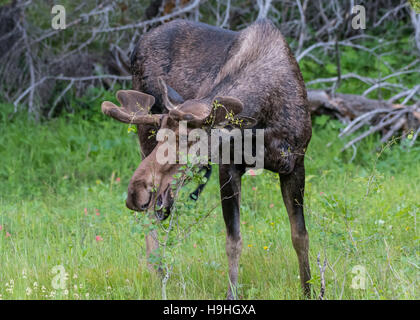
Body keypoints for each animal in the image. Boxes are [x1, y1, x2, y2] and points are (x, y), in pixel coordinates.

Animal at [101, 18, 312, 298]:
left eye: (190, 140)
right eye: (161, 135)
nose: (135, 194)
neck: (264, 123)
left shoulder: (296, 163)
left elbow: (300, 236)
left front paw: (310, 289)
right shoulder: (228, 166)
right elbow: (234, 240)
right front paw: (232, 293)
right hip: (144, 139)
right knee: (152, 221)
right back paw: (159, 277)